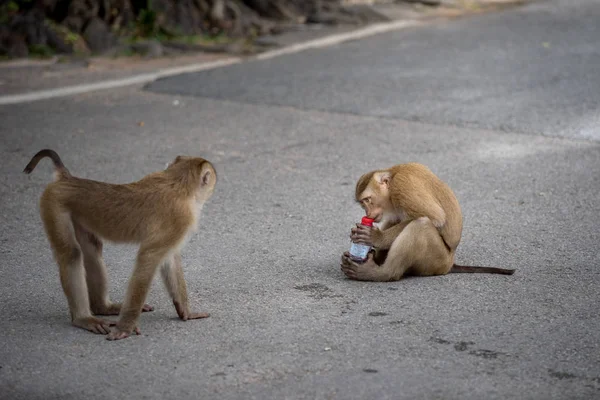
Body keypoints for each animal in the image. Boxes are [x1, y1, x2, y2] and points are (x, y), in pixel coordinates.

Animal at [24, 150, 216, 340]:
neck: (178, 182)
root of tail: (65, 179)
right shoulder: (180, 218)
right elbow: (149, 259)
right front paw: (125, 327)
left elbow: (168, 259)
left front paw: (186, 312)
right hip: (54, 204)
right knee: (71, 253)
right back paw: (83, 318)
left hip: (77, 212)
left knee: (91, 250)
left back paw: (103, 308)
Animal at [340, 162, 512, 282]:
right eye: (362, 204)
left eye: (368, 200)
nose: (367, 213)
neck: (394, 175)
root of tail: (450, 263)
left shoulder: (402, 187)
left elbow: (435, 218)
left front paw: (376, 237)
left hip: (436, 260)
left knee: (421, 225)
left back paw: (381, 273)